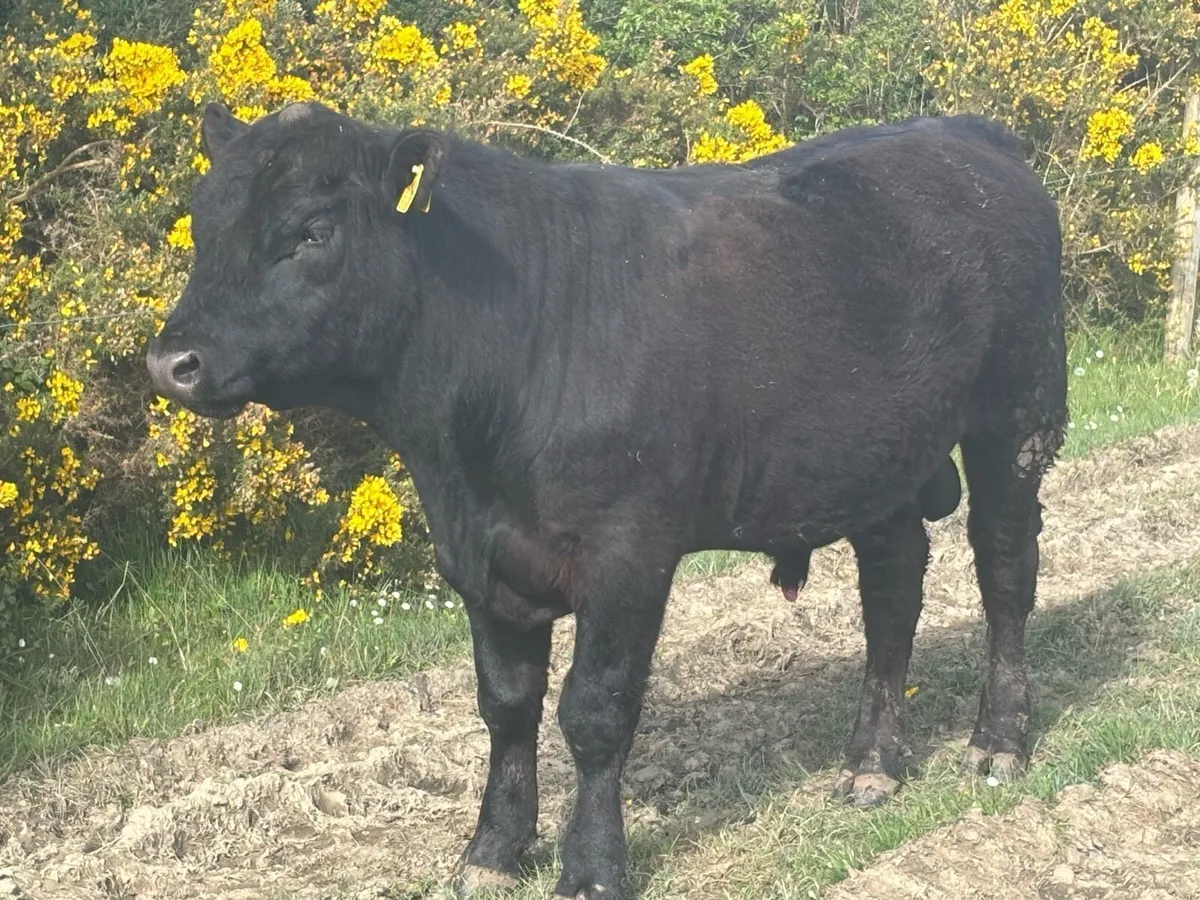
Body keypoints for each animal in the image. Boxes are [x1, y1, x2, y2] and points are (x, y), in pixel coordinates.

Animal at [146, 101, 1067, 899]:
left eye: (312, 231)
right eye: (204, 225)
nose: (171, 361)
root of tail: (967, 131)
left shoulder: (628, 552)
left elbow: (593, 711)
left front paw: (590, 868)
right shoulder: (479, 561)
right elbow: (506, 708)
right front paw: (491, 851)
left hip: (1016, 415)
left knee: (1006, 573)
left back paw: (998, 744)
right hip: (877, 455)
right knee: (893, 590)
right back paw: (872, 763)